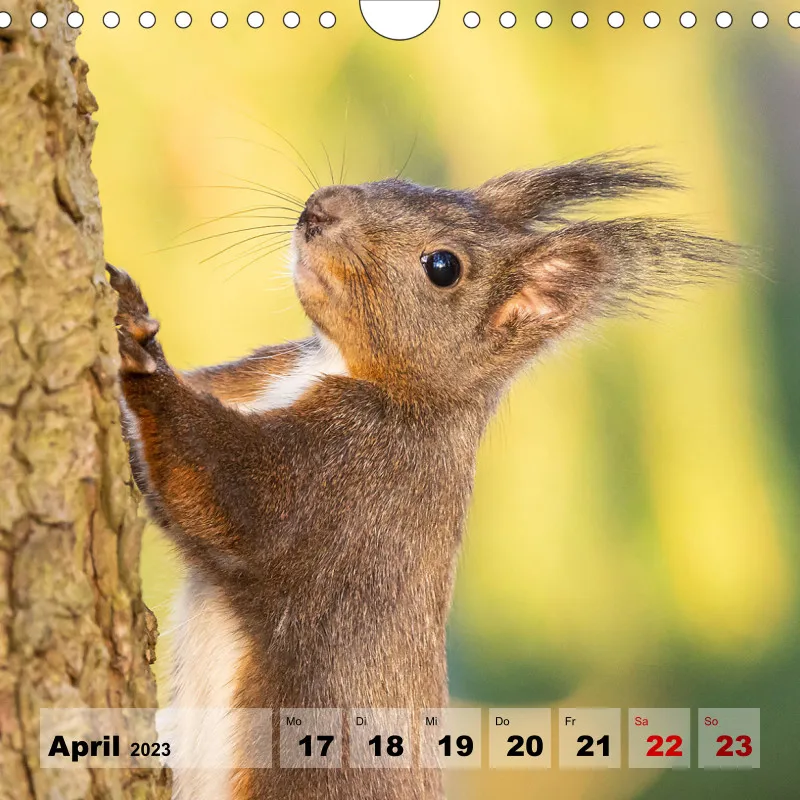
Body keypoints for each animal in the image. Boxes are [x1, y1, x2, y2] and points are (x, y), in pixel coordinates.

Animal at [109, 154, 738, 800]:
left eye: (443, 267)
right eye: (397, 181)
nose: (319, 208)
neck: (342, 367)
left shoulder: (352, 474)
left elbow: (223, 490)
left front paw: (142, 353)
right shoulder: (258, 377)